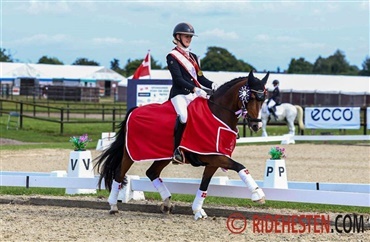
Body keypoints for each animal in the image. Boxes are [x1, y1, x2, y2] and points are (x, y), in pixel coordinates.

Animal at [94, 71, 268, 220]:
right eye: (251, 97)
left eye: (264, 99)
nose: (256, 125)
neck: (217, 114)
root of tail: (134, 110)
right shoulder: (215, 156)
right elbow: (240, 167)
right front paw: (258, 194)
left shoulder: (213, 160)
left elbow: (204, 185)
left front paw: (198, 210)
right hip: (130, 154)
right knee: (119, 173)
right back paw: (113, 206)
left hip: (163, 156)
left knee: (152, 172)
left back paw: (167, 204)